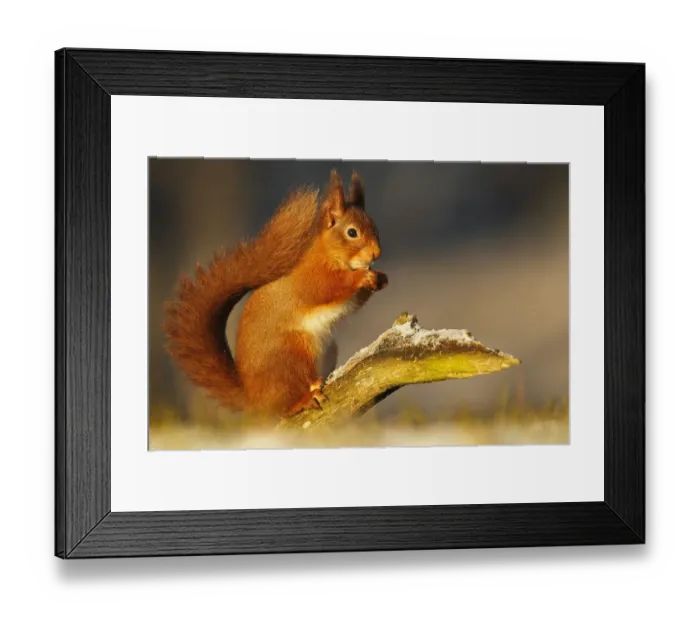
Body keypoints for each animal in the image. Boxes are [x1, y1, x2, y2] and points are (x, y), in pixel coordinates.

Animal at [164, 170, 388, 419]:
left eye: (374, 226)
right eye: (352, 232)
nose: (376, 253)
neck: (327, 254)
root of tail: (254, 401)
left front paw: (379, 278)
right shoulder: (311, 278)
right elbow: (328, 288)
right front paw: (361, 277)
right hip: (292, 353)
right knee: (285, 404)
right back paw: (304, 399)